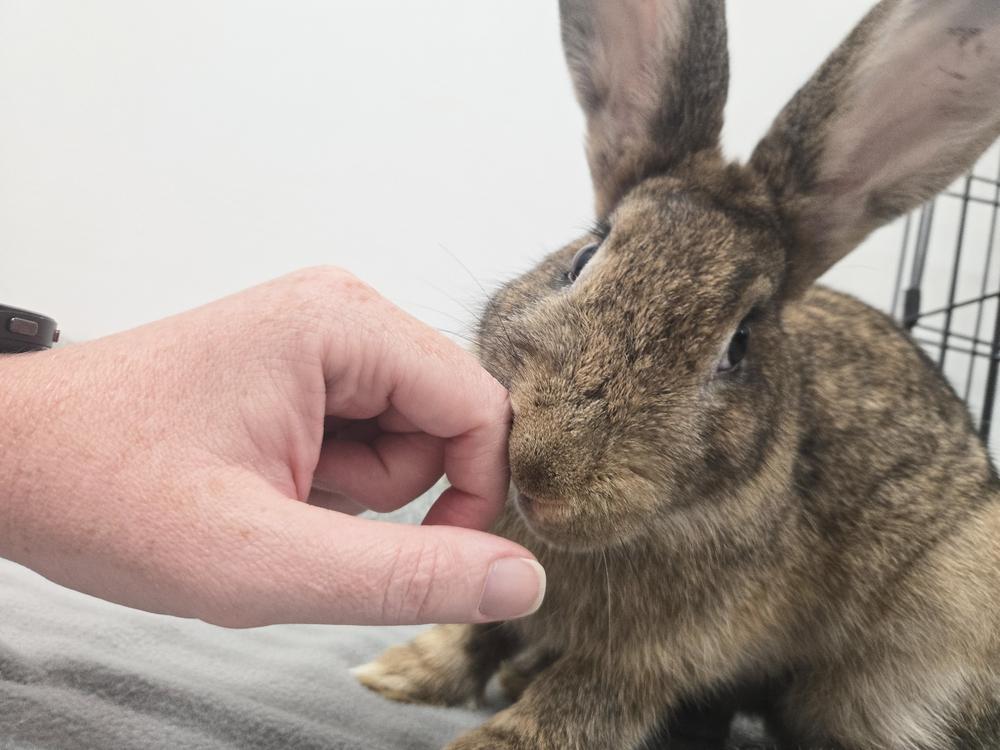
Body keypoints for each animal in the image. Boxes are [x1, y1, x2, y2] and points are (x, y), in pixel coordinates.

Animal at [354, 0, 1000, 748]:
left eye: (739, 345)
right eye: (583, 259)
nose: (542, 469)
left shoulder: (659, 652)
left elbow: (581, 700)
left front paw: (490, 740)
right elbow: (476, 632)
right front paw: (396, 676)